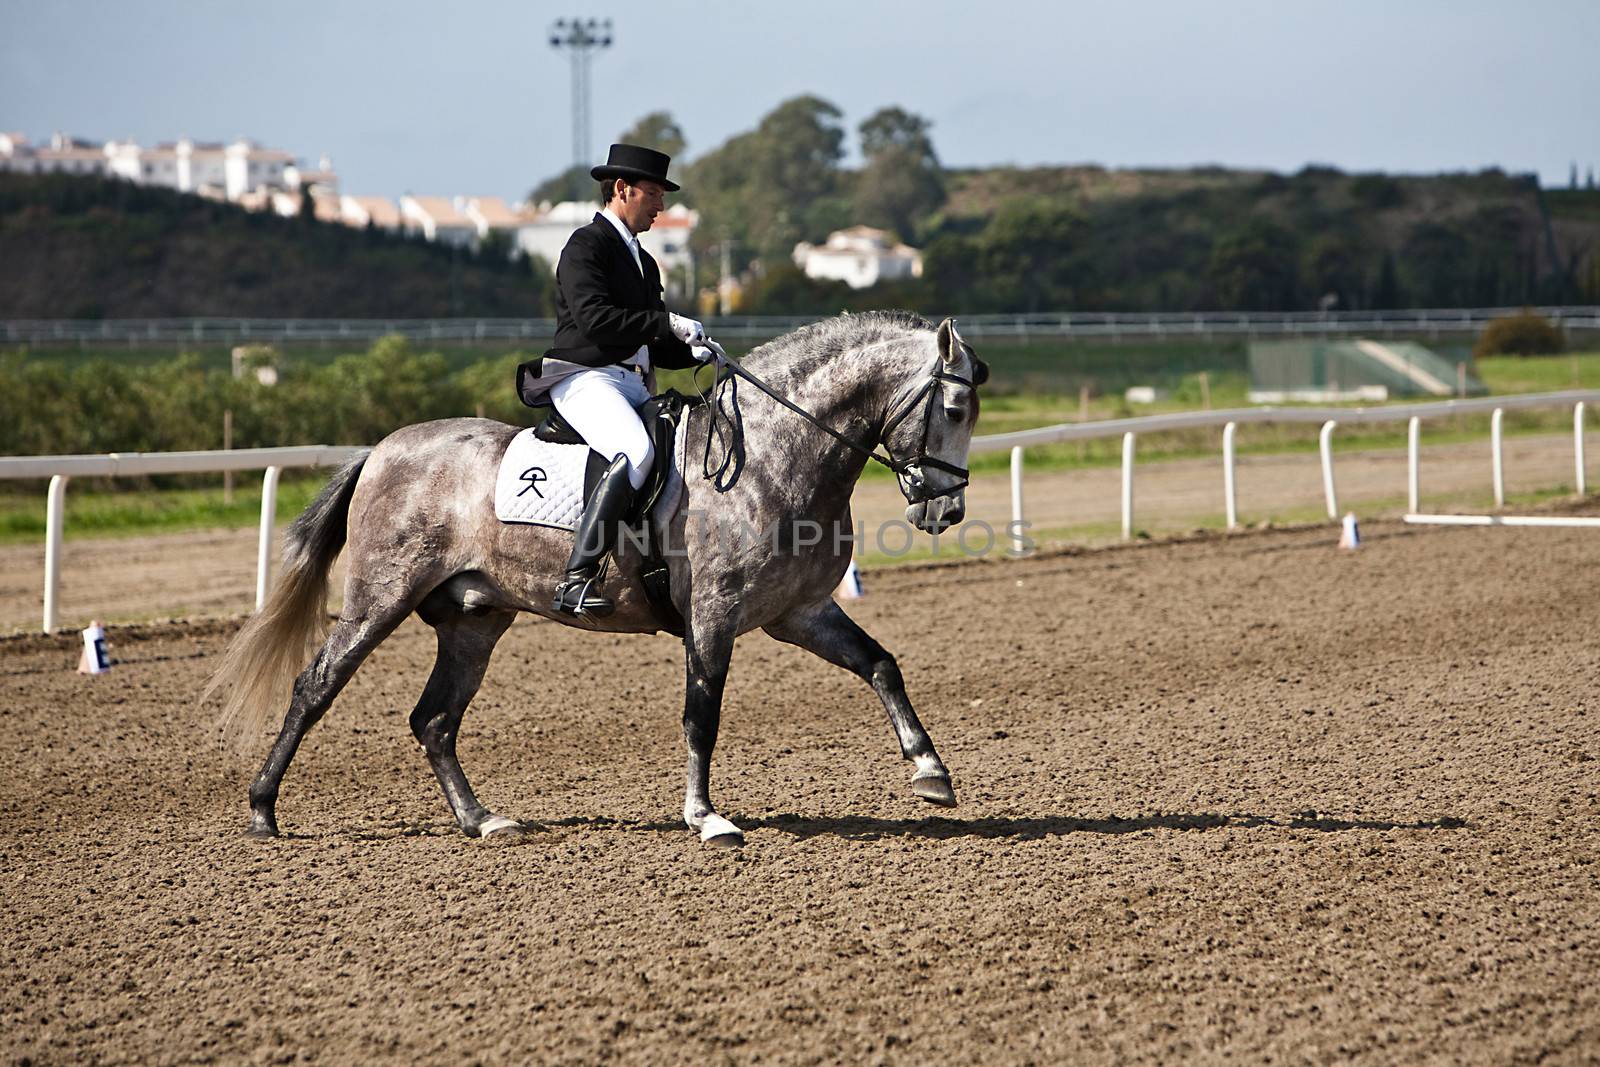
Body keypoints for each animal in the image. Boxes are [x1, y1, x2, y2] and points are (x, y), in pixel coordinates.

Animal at [209, 313, 985, 844]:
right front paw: (706, 817)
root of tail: (381, 450)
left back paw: (482, 820)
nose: (945, 509)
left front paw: (931, 772)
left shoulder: (800, 610)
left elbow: (880, 665)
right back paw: (263, 811)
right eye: (952, 409)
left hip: (473, 620)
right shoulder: (714, 612)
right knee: (316, 687)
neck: (772, 453)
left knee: (434, 719)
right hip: (381, 598)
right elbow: (702, 712)